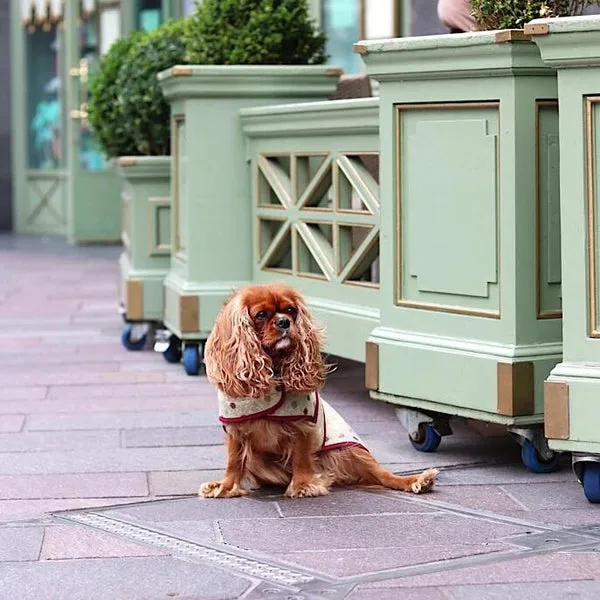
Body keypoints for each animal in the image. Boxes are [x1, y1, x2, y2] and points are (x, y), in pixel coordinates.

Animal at [199, 284, 438, 500]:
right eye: (261, 314)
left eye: (291, 310)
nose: (284, 322)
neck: (274, 368)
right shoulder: (236, 428)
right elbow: (234, 460)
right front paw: (226, 487)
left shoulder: (302, 424)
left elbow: (301, 456)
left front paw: (303, 485)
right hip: (259, 462)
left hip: (349, 451)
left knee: (383, 475)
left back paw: (417, 481)